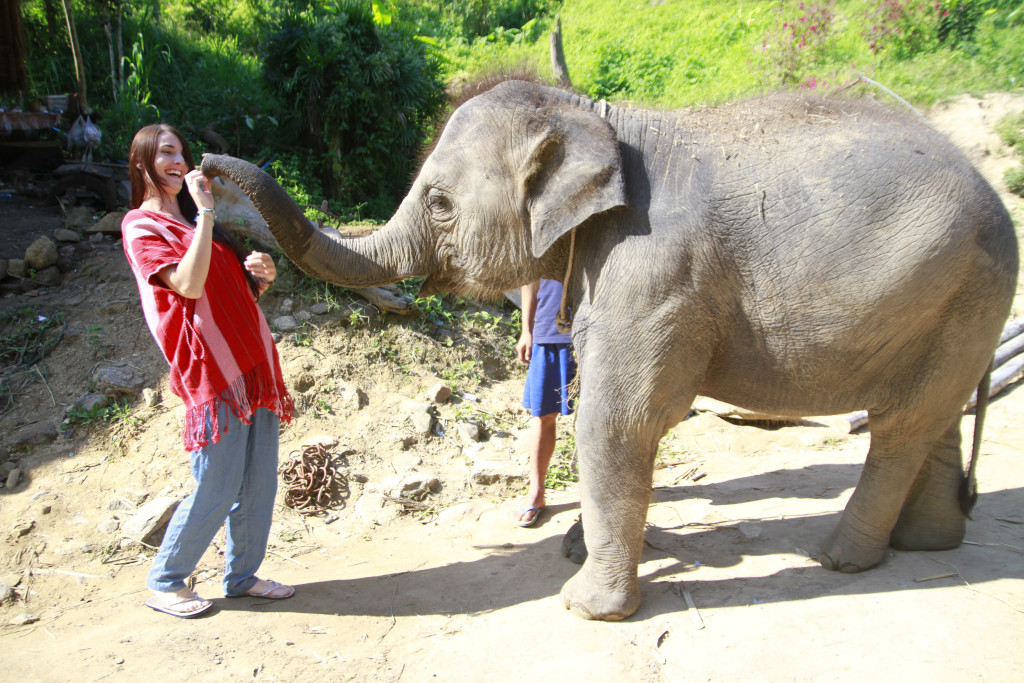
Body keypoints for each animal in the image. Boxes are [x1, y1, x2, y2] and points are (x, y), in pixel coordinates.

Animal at [199, 78, 1015, 618]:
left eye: (439, 203)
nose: (206, 167)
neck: (594, 118)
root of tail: (995, 194)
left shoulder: (655, 272)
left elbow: (618, 423)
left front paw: (583, 603)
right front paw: (576, 547)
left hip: (967, 286)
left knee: (901, 426)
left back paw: (843, 558)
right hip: (958, 304)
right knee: (935, 413)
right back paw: (929, 543)